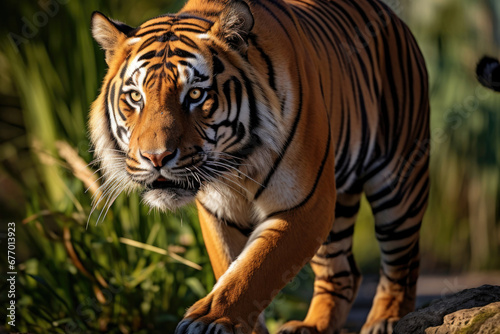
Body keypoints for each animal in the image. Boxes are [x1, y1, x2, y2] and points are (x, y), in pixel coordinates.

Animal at [90, 0, 430, 332]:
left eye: (196, 94)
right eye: (135, 97)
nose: (156, 157)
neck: (236, 165)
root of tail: (390, 14)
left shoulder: (305, 204)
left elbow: (254, 270)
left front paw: (210, 319)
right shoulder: (219, 212)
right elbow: (230, 268)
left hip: (398, 185)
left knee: (404, 261)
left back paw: (386, 320)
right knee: (342, 270)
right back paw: (311, 326)